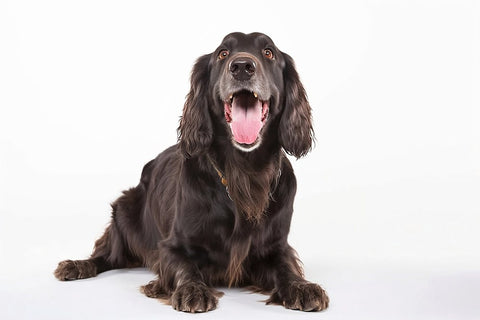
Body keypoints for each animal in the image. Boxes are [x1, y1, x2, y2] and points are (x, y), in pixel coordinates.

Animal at [53, 32, 330, 312]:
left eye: (268, 52)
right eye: (222, 53)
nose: (242, 67)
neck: (244, 172)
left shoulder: (276, 246)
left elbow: (286, 267)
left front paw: (301, 286)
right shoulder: (171, 246)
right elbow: (185, 267)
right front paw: (193, 289)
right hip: (123, 210)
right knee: (107, 255)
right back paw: (76, 266)